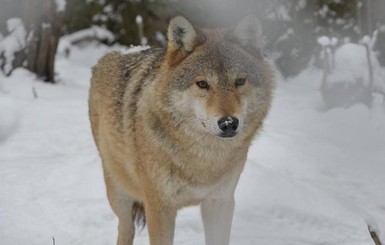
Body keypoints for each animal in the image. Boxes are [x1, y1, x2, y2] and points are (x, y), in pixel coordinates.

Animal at [88, 14, 272, 244]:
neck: (204, 160)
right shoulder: (159, 207)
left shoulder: (220, 201)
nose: (229, 123)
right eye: (202, 84)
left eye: (239, 81)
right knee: (125, 228)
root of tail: (116, 53)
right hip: (119, 193)